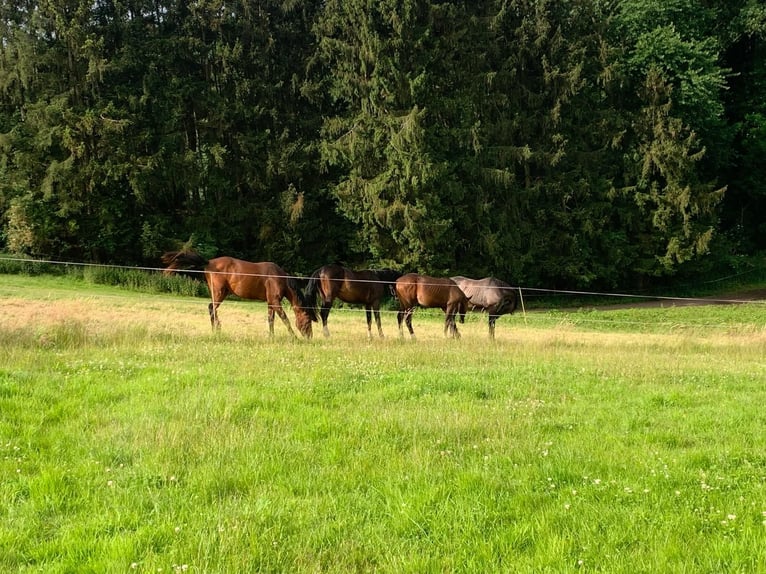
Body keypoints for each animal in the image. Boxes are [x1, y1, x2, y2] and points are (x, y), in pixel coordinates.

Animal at [162, 251, 318, 340]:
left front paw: (271, 337)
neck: (278, 277)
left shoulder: (270, 303)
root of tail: (209, 262)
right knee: (211, 308)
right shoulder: (275, 302)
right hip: (219, 293)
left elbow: (271, 320)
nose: (310, 337)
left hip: (222, 294)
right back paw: (216, 330)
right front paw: (294, 337)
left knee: (212, 309)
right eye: (308, 320)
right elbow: (285, 319)